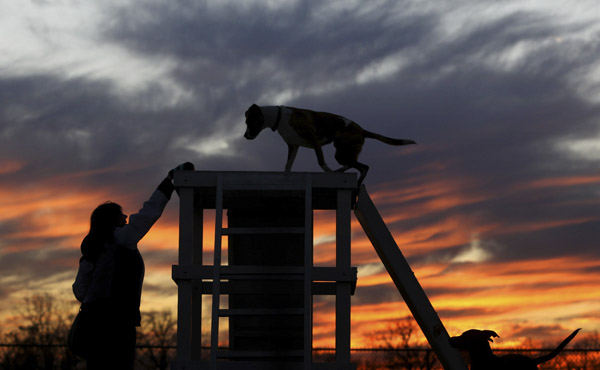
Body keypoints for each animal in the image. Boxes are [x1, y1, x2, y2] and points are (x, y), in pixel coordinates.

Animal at [244, 104, 418, 185]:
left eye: (249, 122)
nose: (245, 136)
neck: (279, 118)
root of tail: (362, 130)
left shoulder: (314, 140)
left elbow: (321, 162)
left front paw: (327, 171)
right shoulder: (293, 146)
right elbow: (287, 166)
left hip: (341, 152)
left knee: (364, 167)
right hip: (342, 152)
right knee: (355, 165)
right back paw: (341, 172)